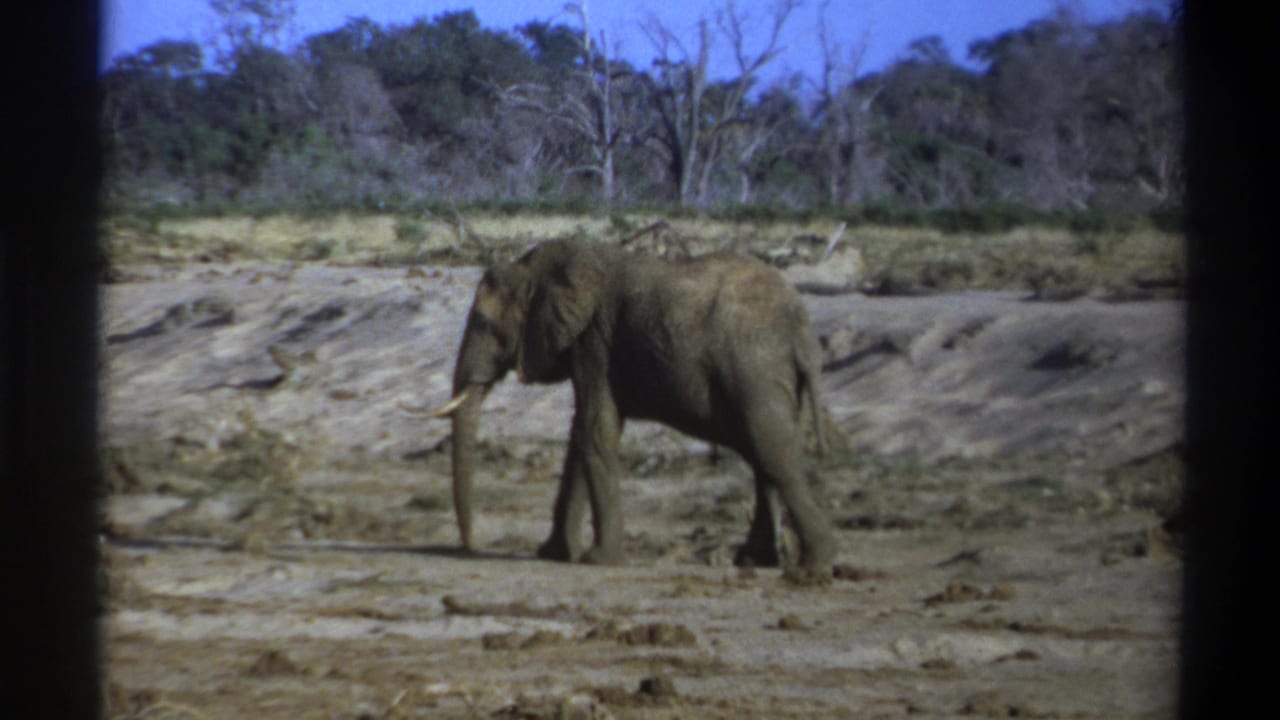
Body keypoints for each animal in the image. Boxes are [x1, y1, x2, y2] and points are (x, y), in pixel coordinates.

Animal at [433, 238, 836, 571]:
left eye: (483, 322)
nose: (472, 547)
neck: (537, 267)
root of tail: (803, 329)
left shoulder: (594, 339)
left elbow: (596, 430)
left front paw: (599, 561)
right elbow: (581, 435)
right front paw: (553, 554)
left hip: (754, 369)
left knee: (772, 451)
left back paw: (814, 567)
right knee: (762, 457)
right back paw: (755, 560)